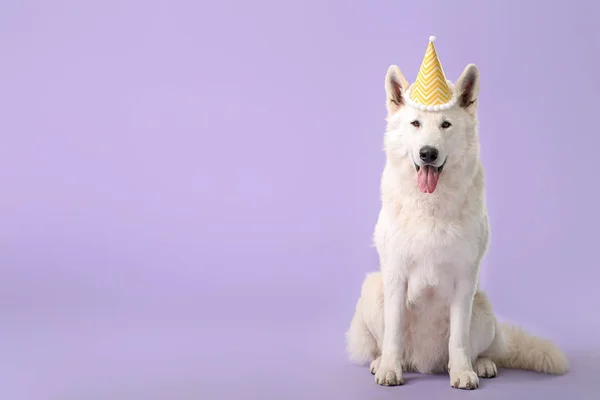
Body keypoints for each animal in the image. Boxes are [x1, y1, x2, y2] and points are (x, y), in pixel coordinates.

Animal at [344, 64, 568, 390]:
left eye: (445, 125)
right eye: (415, 123)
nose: (428, 153)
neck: (431, 204)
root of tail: (424, 362)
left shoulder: (465, 280)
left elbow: (459, 339)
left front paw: (462, 372)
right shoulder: (395, 275)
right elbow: (393, 334)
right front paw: (389, 368)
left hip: (483, 307)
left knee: (482, 349)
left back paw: (482, 364)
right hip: (374, 289)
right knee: (385, 342)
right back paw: (381, 362)